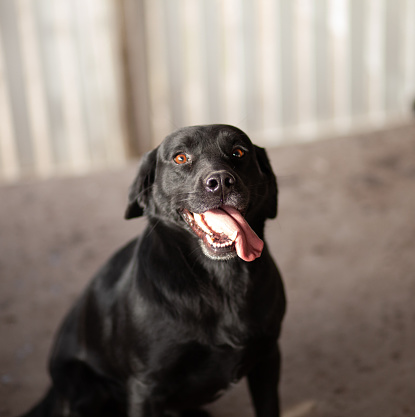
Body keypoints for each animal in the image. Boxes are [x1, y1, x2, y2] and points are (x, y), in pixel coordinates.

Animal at [20, 124, 286, 416]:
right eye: (180, 157)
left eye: (239, 152)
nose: (221, 181)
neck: (221, 281)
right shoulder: (145, 387)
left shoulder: (268, 356)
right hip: (83, 389)